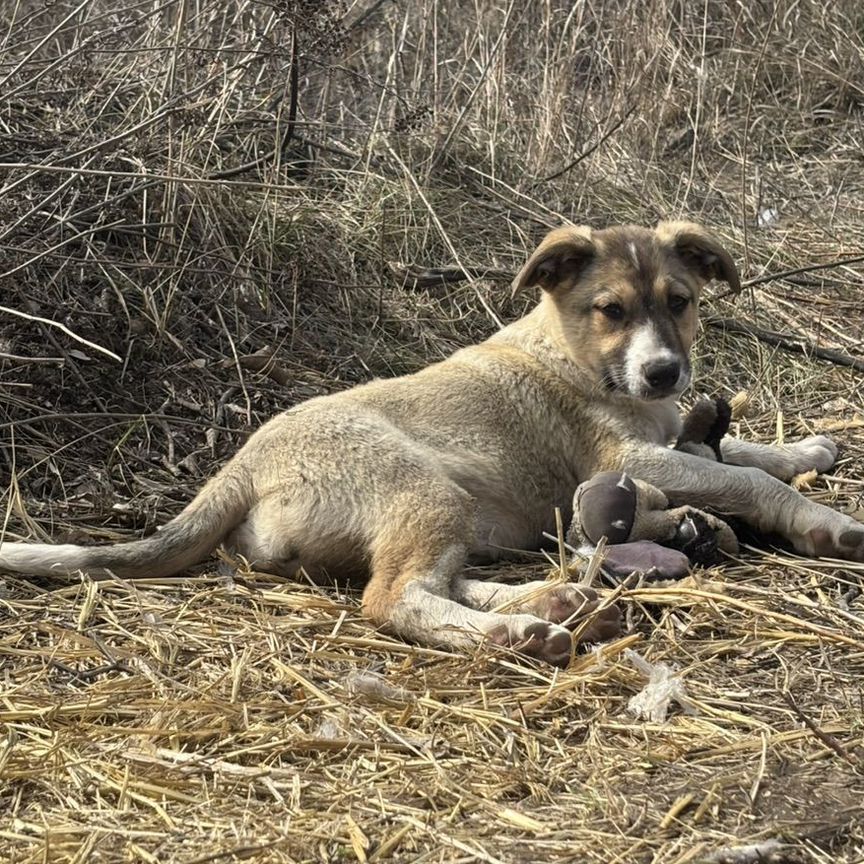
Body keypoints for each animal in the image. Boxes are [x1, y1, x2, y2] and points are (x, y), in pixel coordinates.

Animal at [3, 221, 860, 660]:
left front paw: (810, 452)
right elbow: (745, 478)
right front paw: (825, 522)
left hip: (440, 513)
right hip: (423, 487)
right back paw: (524, 627)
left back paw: (560, 601)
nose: (664, 372)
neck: (576, 357)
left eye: (679, 301)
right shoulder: (626, 455)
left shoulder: (669, 437)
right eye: (611, 310)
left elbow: (737, 454)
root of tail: (241, 467)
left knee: (436, 582)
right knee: (393, 598)